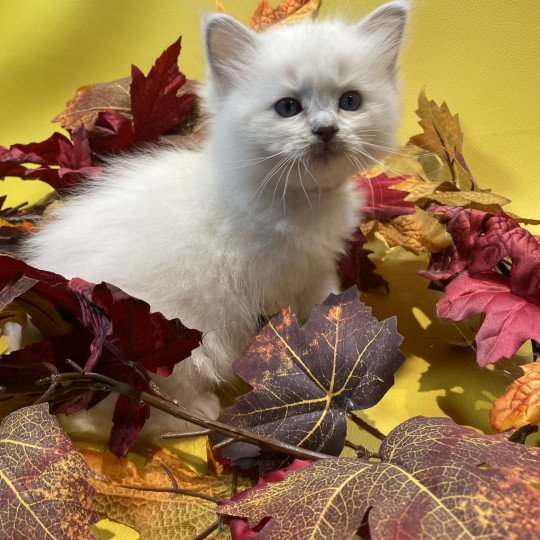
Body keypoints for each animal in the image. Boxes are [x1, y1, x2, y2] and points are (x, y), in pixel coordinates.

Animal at [22, 2, 410, 442]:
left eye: (350, 101)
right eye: (288, 107)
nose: (326, 130)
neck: (298, 199)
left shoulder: (317, 268)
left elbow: (325, 308)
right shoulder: (278, 284)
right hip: (171, 339)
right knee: (119, 413)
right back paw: (196, 415)